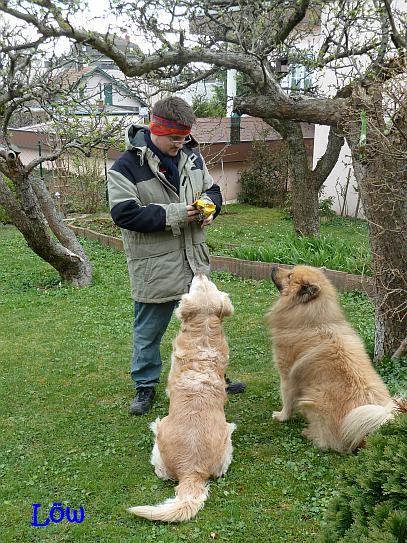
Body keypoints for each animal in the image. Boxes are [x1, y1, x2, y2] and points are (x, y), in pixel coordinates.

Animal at [127, 274, 236, 524]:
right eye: (208, 284)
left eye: (198, 285)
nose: (200, 274)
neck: (203, 337)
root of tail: (191, 471)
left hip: (163, 433)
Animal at [268, 266, 402, 452]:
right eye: (290, 270)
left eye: (289, 275)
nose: (274, 267)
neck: (314, 320)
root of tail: (369, 433)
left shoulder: (287, 376)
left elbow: (287, 401)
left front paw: (281, 416)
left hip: (315, 400)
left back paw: (310, 434)